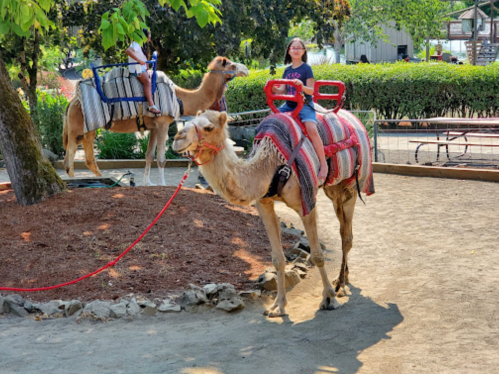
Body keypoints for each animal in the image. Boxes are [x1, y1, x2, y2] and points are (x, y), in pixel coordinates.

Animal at [63, 57, 250, 186]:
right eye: (232, 65)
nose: (246, 70)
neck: (180, 98)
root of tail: (72, 102)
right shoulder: (163, 123)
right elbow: (161, 158)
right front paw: (163, 184)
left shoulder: (153, 126)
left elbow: (149, 155)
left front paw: (149, 183)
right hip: (78, 125)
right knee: (70, 154)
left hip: (87, 128)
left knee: (83, 151)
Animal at [174, 109, 366, 318]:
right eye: (189, 121)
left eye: (208, 128)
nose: (177, 138)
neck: (269, 164)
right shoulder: (264, 203)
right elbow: (277, 258)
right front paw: (278, 306)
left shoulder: (306, 202)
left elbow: (317, 254)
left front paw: (329, 299)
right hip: (334, 189)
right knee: (344, 229)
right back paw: (343, 279)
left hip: (351, 184)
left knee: (346, 236)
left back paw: (340, 284)